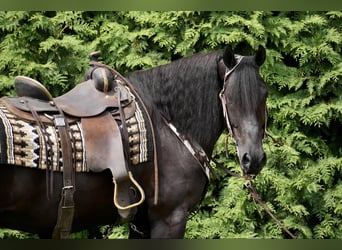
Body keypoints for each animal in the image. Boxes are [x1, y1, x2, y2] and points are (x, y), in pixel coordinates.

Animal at [0, 45, 268, 238]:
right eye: (230, 98)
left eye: (264, 95)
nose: (253, 158)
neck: (166, 124)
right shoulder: (169, 218)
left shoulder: (142, 223)